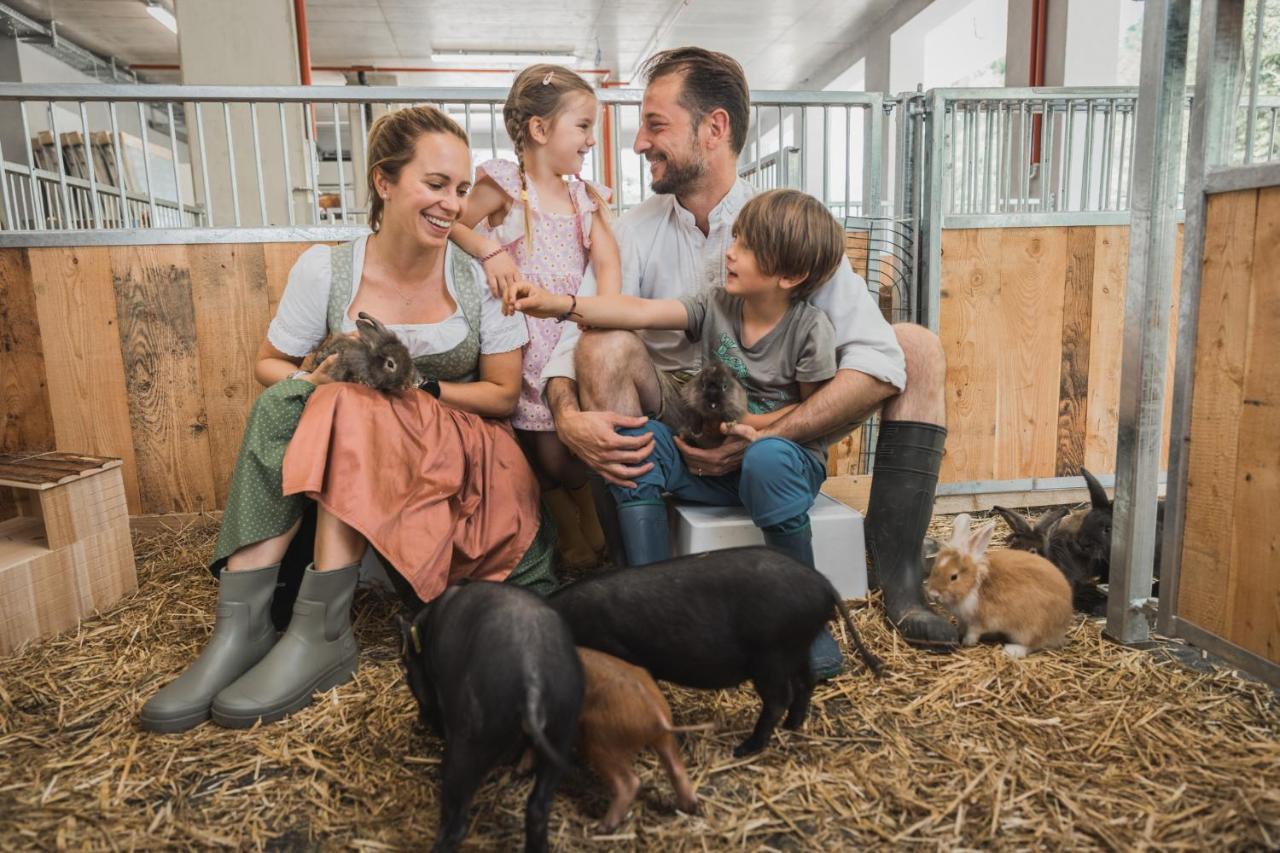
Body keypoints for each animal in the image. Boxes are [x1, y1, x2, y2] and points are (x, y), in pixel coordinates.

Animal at [926, 512, 1075, 655]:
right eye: (934, 569)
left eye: (954, 577)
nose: (933, 594)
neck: (974, 585)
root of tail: (1062, 625)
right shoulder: (963, 619)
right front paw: (958, 632)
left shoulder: (980, 621)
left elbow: (974, 632)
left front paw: (967, 642)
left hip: (1028, 629)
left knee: (1032, 645)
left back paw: (1011, 650)